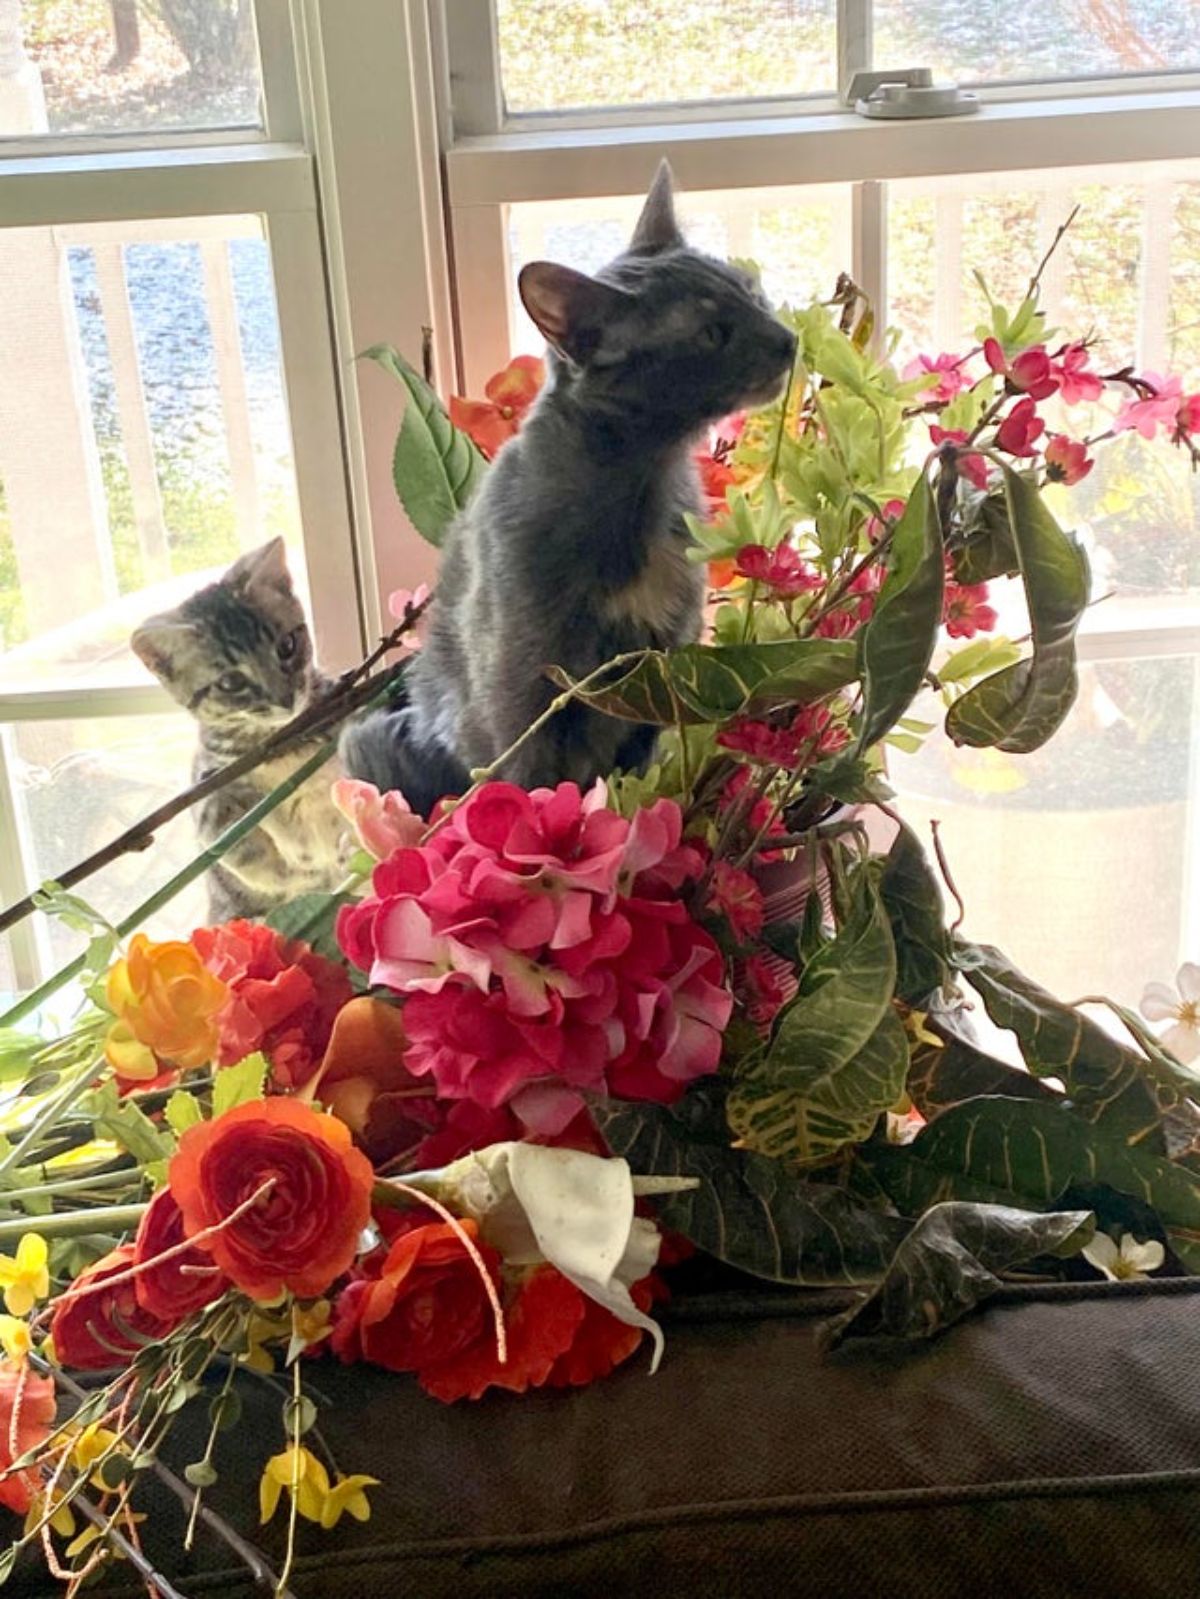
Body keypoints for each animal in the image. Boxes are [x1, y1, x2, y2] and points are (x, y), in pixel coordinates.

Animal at [340, 160, 800, 812]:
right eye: (713, 332)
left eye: (752, 291)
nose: (787, 339)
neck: (641, 481)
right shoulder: (518, 693)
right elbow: (527, 782)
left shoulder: (656, 678)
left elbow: (637, 778)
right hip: (371, 742)